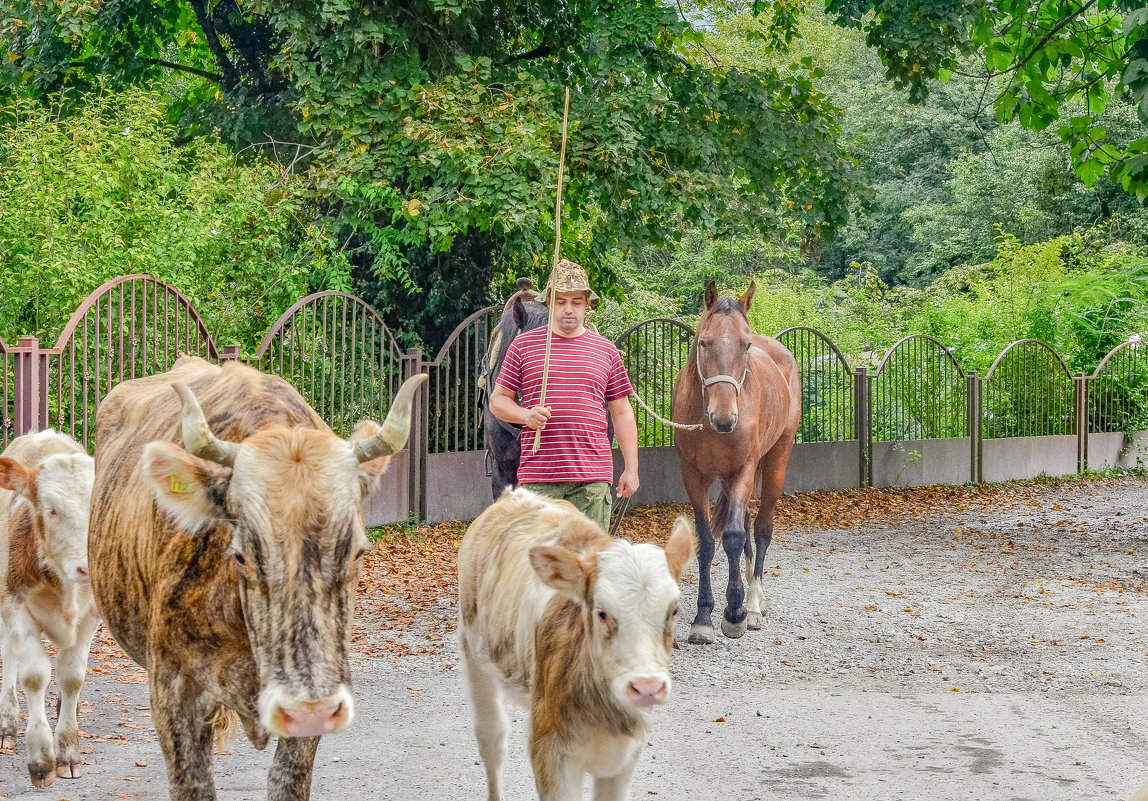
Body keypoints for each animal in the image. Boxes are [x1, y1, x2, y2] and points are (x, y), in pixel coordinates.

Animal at [0, 426, 97, 784]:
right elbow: (33, 675)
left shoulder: (90, 616)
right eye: (51, 510)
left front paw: (67, 751)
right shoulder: (15, 606)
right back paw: (8, 724)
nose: (87, 568)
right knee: (10, 656)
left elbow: (72, 676)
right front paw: (41, 757)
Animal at [454, 486, 688, 798]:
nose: (647, 687)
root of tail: (517, 494)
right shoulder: (550, 751)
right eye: (601, 612)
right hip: (474, 656)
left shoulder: (625, 756)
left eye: (674, 611)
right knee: (492, 739)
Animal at [670, 281, 799, 642]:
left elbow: (733, 537)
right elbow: (706, 541)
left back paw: (754, 603)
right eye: (703, 342)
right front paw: (703, 616)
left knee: (762, 527)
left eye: (745, 344)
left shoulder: (744, 470)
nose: (724, 418)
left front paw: (735, 612)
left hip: (775, 462)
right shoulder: (692, 475)